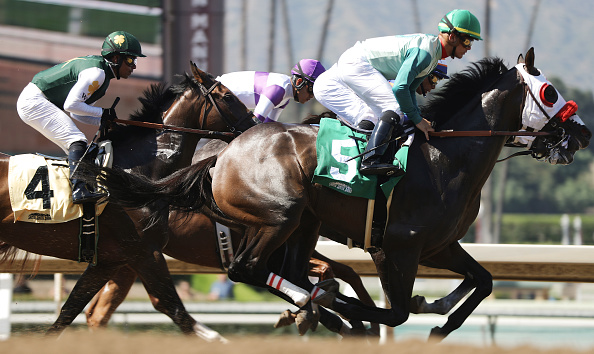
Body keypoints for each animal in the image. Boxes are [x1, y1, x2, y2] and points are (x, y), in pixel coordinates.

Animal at [0, 63, 256, 340]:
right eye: (228, 96)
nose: (254, 126)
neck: (139, 175)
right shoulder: (144, 252)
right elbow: (174, 308)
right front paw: (216, 339)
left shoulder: (109, 260)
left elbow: (69, 311)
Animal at [90, 49, 588, 340]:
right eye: (549, 91)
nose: (582, 133)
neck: (446, 157)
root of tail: (226, 152)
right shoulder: (396, 248)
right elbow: (396, 312)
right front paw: (354, 311)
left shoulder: (439, 245)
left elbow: (481, 282)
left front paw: (439, 316)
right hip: (281, 215)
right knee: (246, 268)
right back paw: (321, 306)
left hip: (302, 224)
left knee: (277, 271)